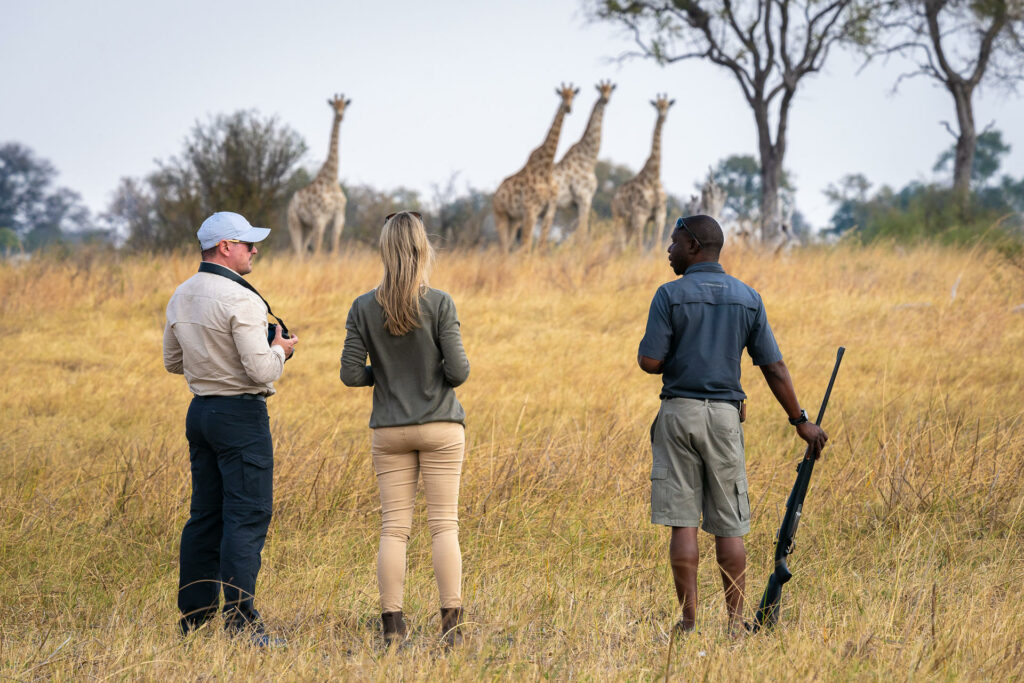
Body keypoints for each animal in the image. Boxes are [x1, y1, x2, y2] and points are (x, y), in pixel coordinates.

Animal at [288, 93, 352, 255]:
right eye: (334, 106)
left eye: (345, 106)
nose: (340, 116)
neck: (331, 178)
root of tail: (290, 203)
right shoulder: (320, 218)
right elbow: (317, 249)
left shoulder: (339, 217)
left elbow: (334, 249)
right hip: (294, 222)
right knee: (298, 251)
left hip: (307, 227)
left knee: (302, 250)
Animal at [493, 82, 581, 252]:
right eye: (562, 95)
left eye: (573, 96)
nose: (568, 108)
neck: (546, 167)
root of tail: (495, 195)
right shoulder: (531, 211)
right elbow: (527, 245)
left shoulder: (549, 212)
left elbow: (541, 246)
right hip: (501, 215)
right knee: (503, 248)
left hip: (514, 219)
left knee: (506, 247)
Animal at [540, 80, 618, 245]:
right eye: (601, 90)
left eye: (610, 90)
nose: (605, 99)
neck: (589, 158)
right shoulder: (584, 198)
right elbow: (583, 231)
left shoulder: (578, 203)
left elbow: (579, 230)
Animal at [610, 92, 675, 248]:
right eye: (657, 106)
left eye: (668, 106)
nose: (663, 117)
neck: (654, 176)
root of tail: (614, 198)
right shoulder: (640, 215)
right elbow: (639, 246)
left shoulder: (660, 216)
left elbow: (656, 245)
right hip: (619, 217)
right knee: (619, 242)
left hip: (628, 221)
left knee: (622, 243)